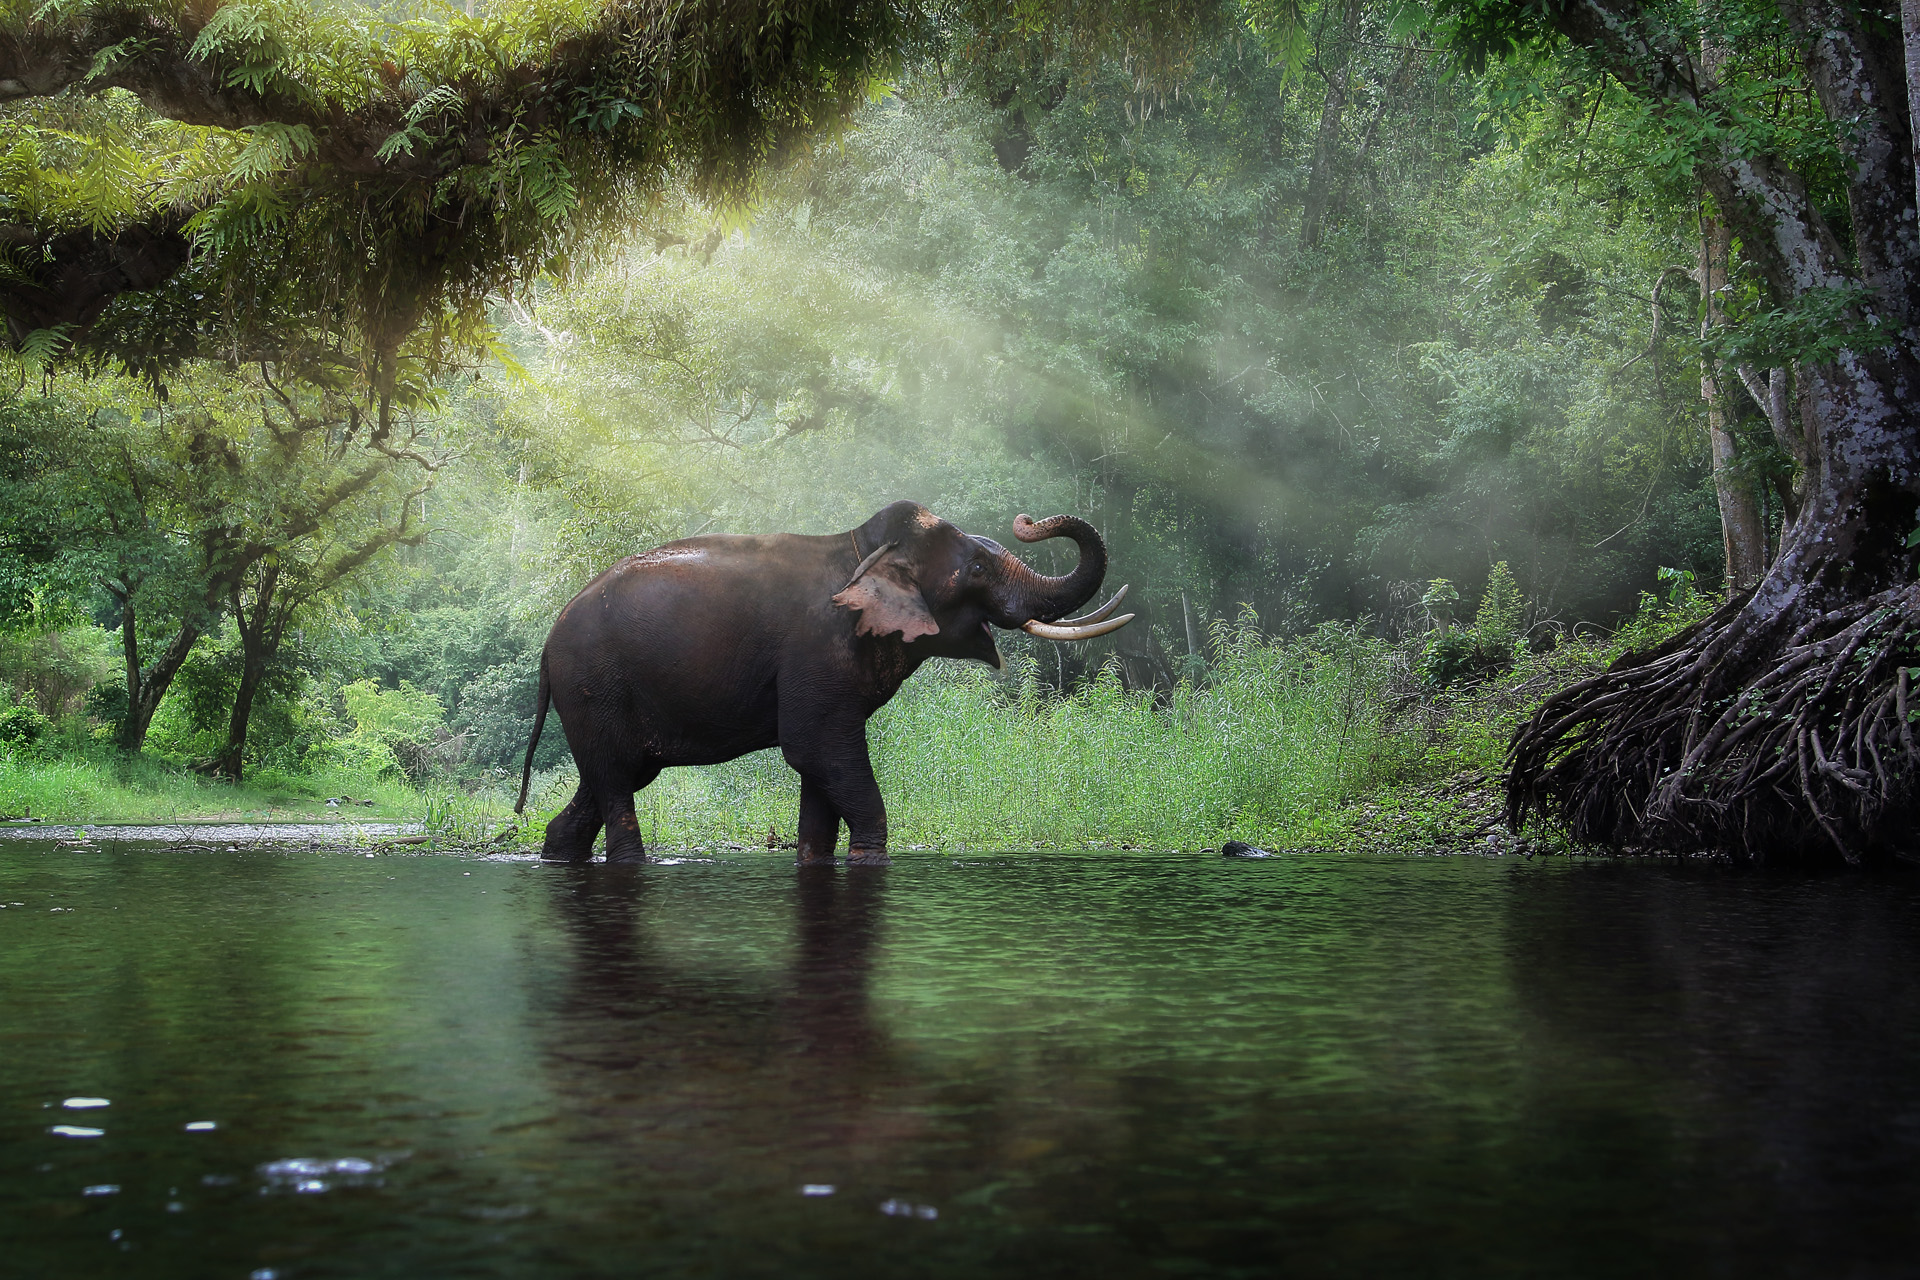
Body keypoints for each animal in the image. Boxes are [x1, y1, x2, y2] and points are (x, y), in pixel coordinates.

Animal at [518, 506, 1128, 867]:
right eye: (977, 567)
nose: (1030, 519)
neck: (862, 551)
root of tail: (548, 646)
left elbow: (818, 768)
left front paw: (816, 862)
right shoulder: (816, 649)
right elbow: (817, 748)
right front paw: (869, 862)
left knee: (610, 776)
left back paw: (556, 852)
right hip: (593, 685)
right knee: (615, 782)